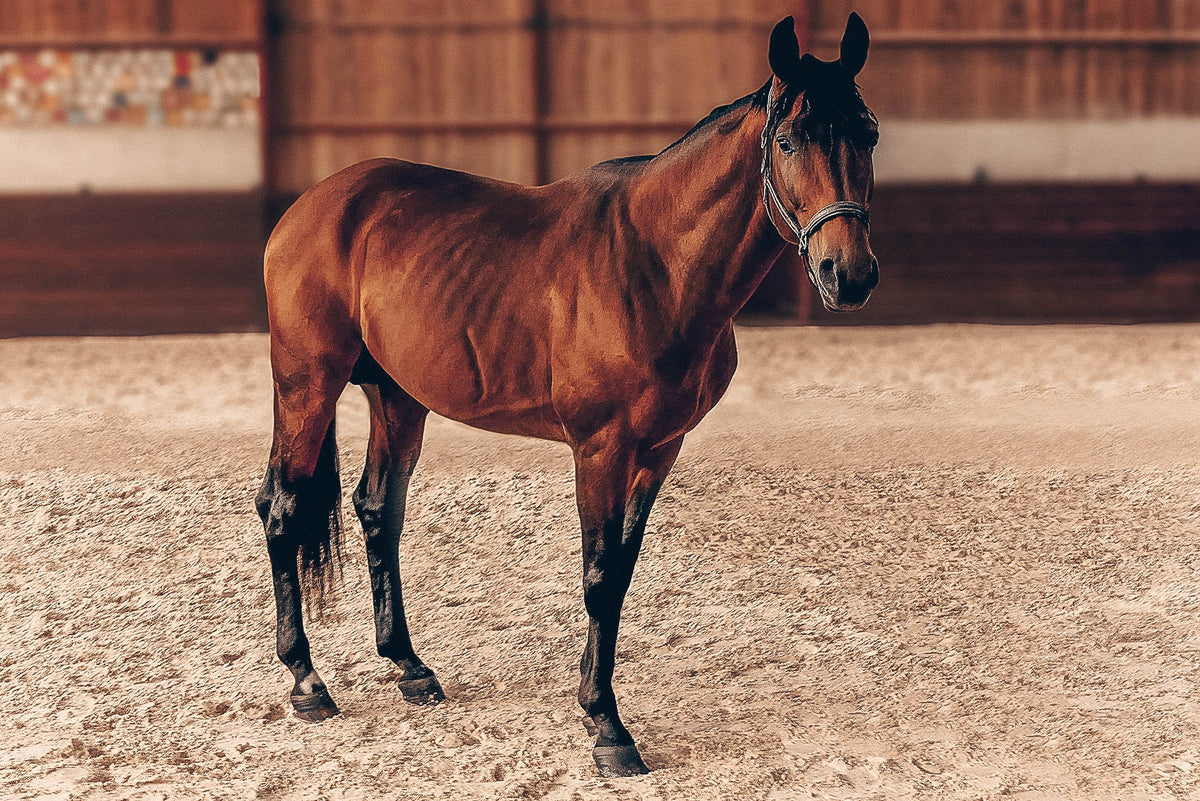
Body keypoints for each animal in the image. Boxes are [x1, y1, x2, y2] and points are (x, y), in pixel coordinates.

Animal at [255, 13, 878, 777]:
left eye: (869, 133)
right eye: (789, 140)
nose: (848, 274)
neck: (655, 264)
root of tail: (309, 208)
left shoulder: (659, 449)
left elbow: (621, 573)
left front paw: (595, 707)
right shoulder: (600, 448)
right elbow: (599, 576)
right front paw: (608, 726)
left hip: (397, 397)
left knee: (378, 511)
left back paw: (410, 667)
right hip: (305, 383)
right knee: (282, 508)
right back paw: (307, 682)